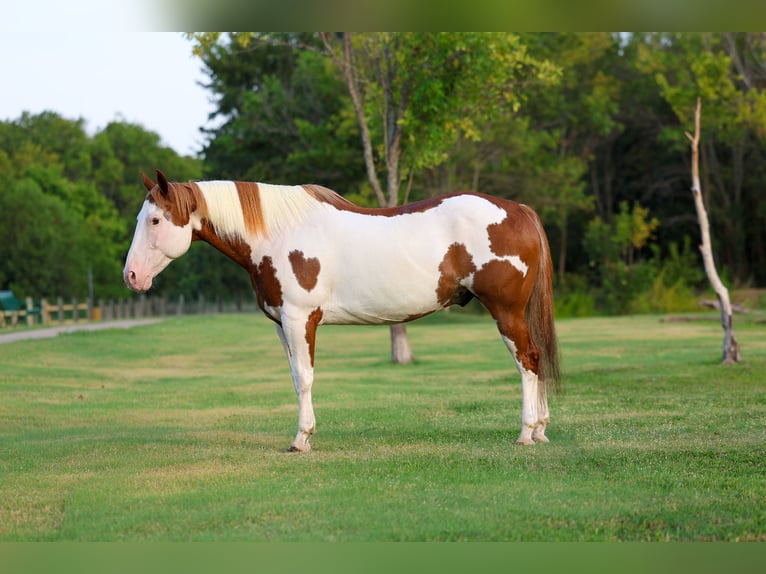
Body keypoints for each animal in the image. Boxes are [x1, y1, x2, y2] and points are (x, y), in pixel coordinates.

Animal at [124, 170, 561, 452]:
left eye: (156, 220)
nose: (131, 276)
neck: (278, 233)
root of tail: (519, 210)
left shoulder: (300, 319)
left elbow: (304, 378)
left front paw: (301, 439)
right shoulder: (282, 324)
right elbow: (294, 377)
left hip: (506, 311)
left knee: (527, 360)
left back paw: (526, 433)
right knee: (537, 358)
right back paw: (541, 430)